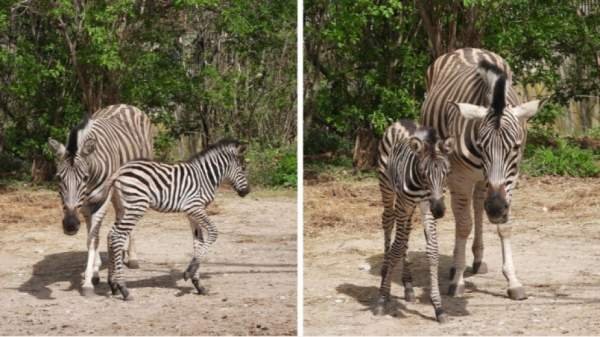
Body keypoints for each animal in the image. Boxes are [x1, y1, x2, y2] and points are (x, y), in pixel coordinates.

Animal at [48, 104, 155, 294]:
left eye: (84, 177)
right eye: (58, 178)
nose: (70, 225)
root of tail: (124, 104)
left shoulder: (102, 199)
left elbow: (93, 238)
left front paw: (88, 282)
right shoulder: (84, 205)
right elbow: (91, 236)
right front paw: (94, 271)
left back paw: (132, 258)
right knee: (121, 215)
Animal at [106, 139, 250, 300]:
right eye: (243, 168)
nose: (247, 191)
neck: (205, 177)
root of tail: (120, 171)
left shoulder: (192, 213)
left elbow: (198, 242)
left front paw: (198, 283)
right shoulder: (194, 207)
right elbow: (213, 233)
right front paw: (188, 273)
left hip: (121, 209)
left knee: (111, 235)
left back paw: (113, 285)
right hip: (136, 207)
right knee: (118, 236)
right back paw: (123, 289)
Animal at [372, 119, 452, 322]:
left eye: (447, 172)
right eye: (424, 172)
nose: (440, 210)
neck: (422, 184)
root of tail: (401, 121)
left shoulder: (427, 206)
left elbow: (432, 251)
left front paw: (438, 306)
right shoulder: (404, 204)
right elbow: (396, 248)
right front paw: (382, 299)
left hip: (409, 208)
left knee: (405, 233)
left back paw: (408, 285)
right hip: (388, 188)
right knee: (388, 222)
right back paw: (385, 272)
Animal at [420, 48, 540, 300]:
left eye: (515, 147)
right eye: (482, 145)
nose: (495, 208)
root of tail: (467, 49)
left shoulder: (511, 177)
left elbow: (505, 226)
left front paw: (513, 281)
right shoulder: (460, 178)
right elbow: (463, 225)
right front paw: (457, 281)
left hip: (481, 182)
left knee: (476, 205)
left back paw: (477, 258)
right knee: (461, 215)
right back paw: (455, 264)